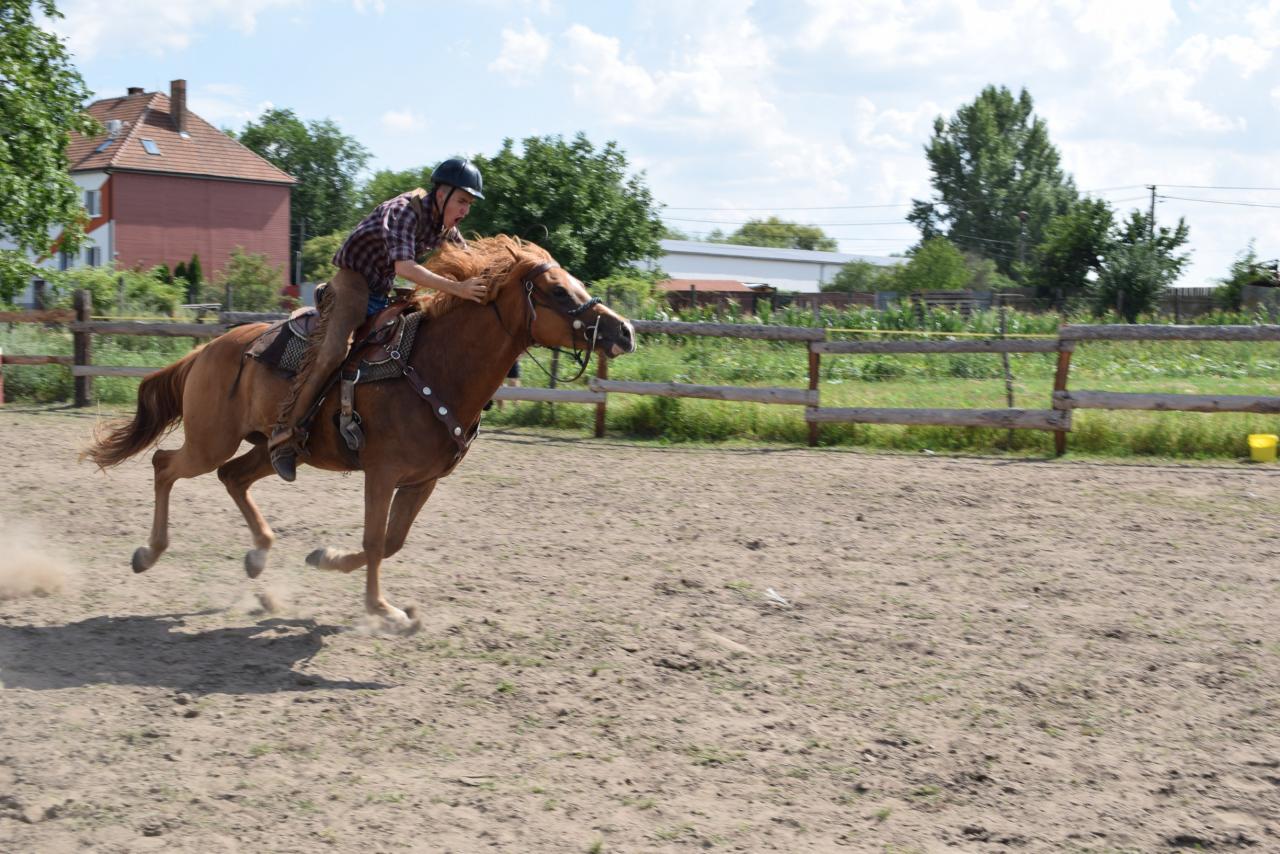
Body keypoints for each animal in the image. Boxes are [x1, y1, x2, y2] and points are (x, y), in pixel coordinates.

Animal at [84, 236, 636, 632]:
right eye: (560, 291)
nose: (624, 331)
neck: (436, 365)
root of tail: (208, 349)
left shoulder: (422, 481)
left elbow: (390, 542)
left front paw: (326, 558)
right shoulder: (382, 472)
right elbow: (374, 541)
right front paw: (384, 612)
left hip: (272, 449)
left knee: (232, 477)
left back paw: (259, 557)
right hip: (209, 439)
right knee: (165, 465)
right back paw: (148, 553)